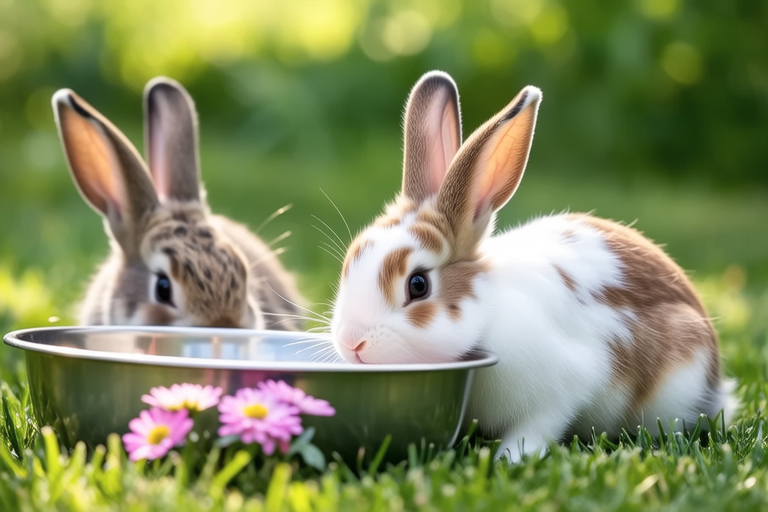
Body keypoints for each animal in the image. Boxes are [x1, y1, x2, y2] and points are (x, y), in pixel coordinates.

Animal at [330, 70, 736, 461]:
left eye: (418, 285)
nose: (352, 342)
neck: (487, 316)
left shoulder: (563, 390)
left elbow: (537, 428)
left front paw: (509, 459)